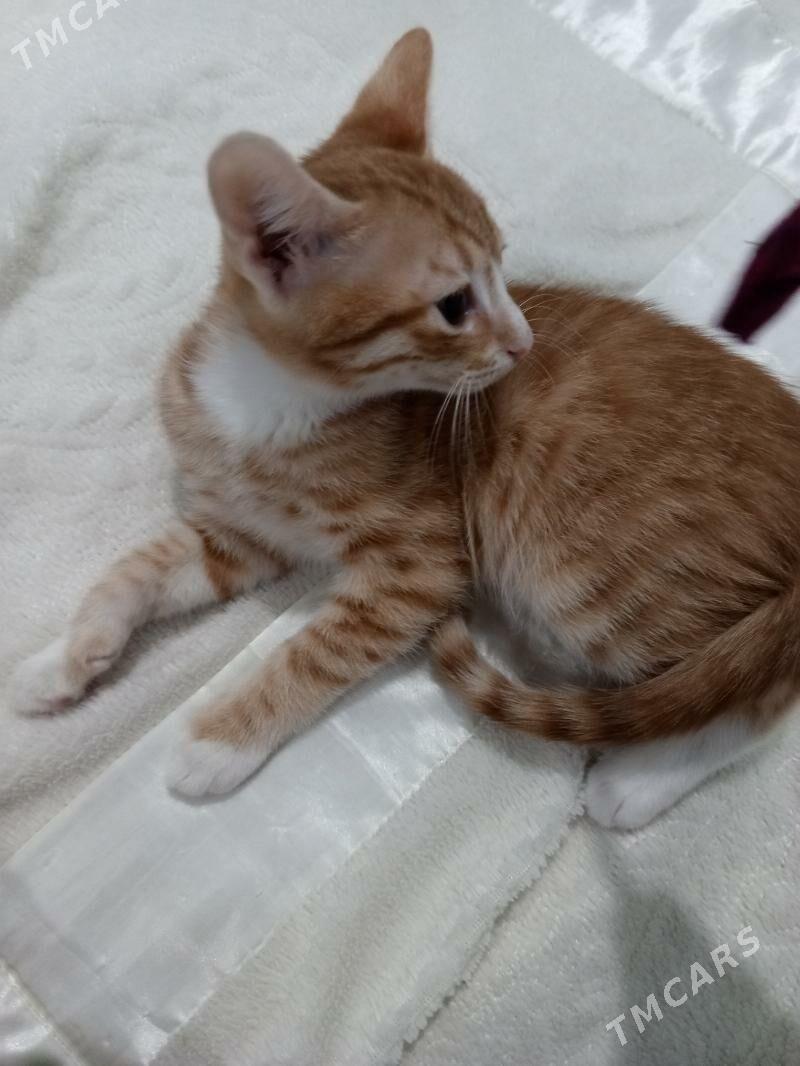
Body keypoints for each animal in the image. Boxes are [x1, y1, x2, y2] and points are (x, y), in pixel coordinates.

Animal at [10, 28, 800, 829]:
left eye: (503, 272)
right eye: (454, 304)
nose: (525, 344)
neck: (270, 405)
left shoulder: (419, 566)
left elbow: (317, 651)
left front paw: (222, 739)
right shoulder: (241, 534)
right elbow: (135, 570)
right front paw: (65, 655)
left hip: (581, 579)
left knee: (757, 701)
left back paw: (642, 782)